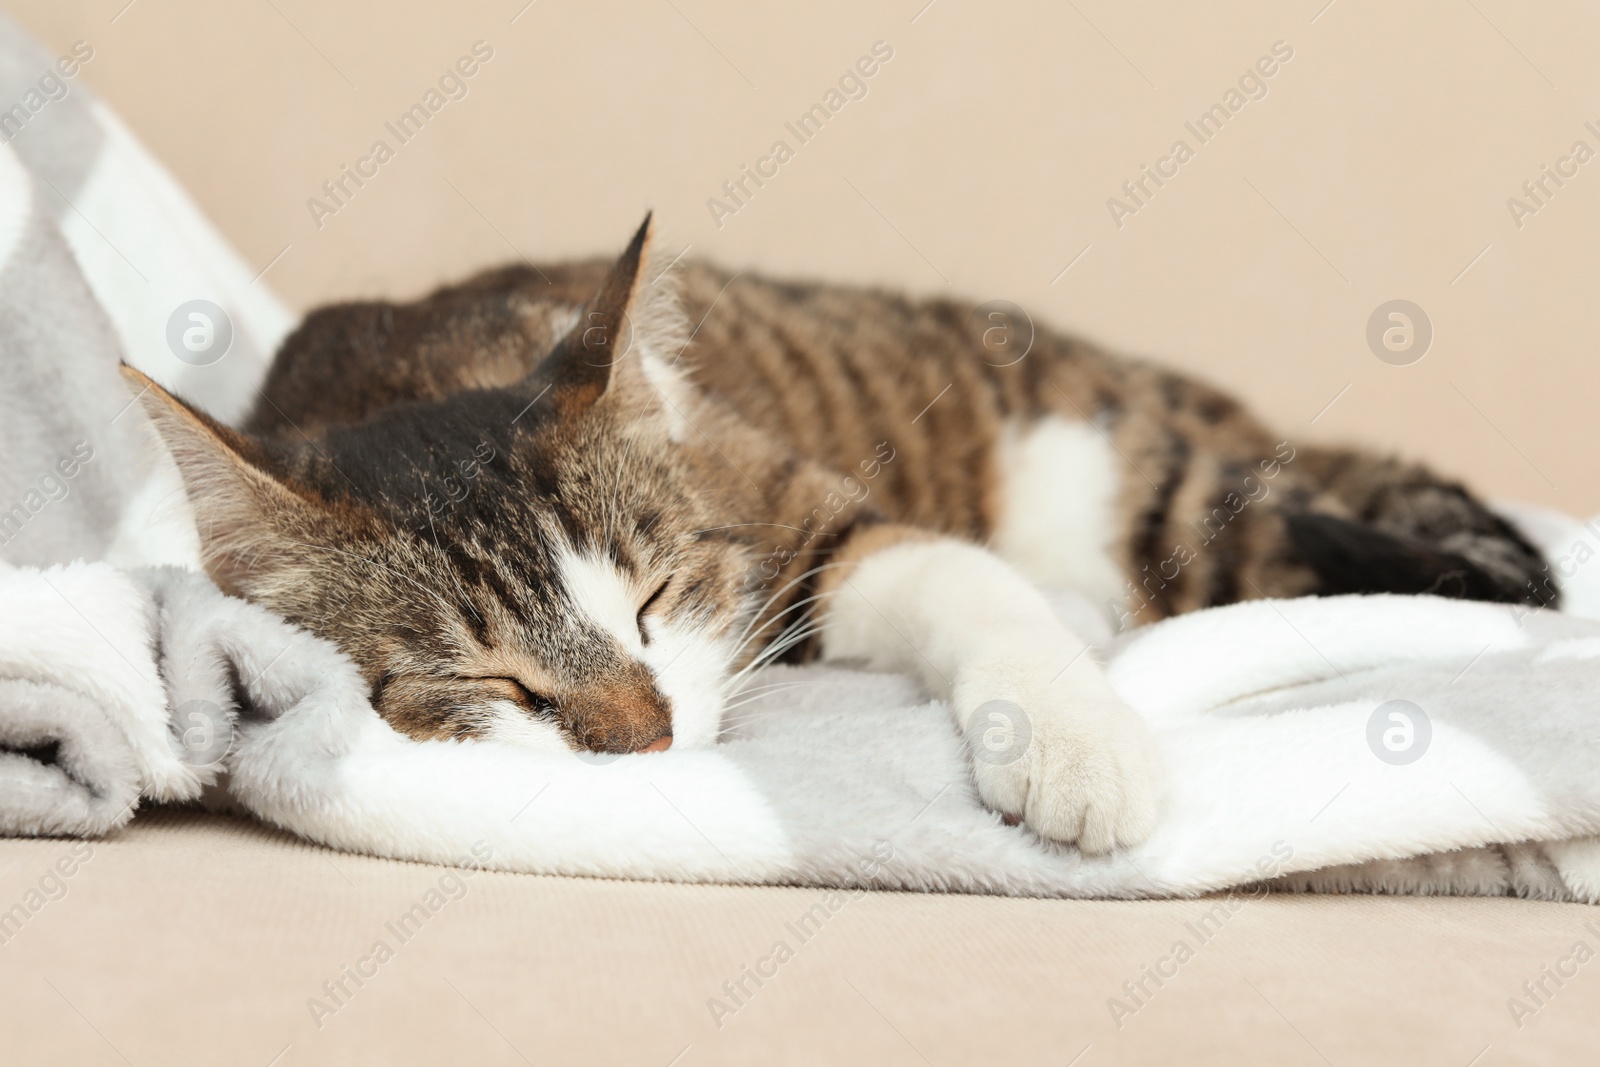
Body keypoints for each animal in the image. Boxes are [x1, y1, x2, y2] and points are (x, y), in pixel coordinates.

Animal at [124, 212, 1548, 857]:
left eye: (654, 599)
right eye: (492, 680)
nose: (644, 736)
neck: (404, 375)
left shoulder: (805, 513)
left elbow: (961, 576)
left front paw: (1078, 743)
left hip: (1159, 491)